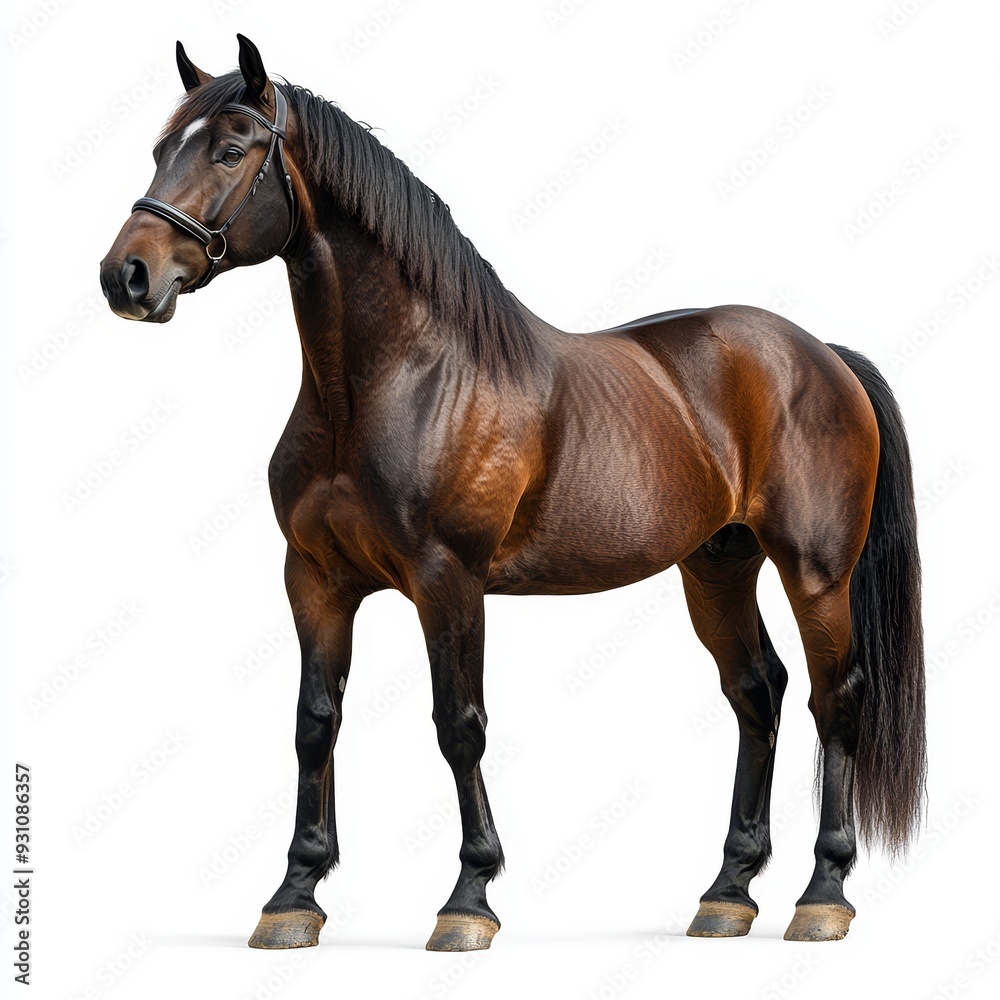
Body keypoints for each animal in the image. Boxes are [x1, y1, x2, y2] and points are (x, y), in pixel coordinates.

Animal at [100, 35, 925, 952]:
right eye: (160, 150)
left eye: (232, 149)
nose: (126, 276)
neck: (394, 382)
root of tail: (821, 353)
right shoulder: (314, 579)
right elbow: (315, 723)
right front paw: (294, 896)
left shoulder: (449, 580)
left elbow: (459, 726)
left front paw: (469, 899)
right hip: (717, 566)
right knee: (758, 694)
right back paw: (727, 892)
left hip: (815, 572)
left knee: (833, 699)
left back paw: (824, 893)